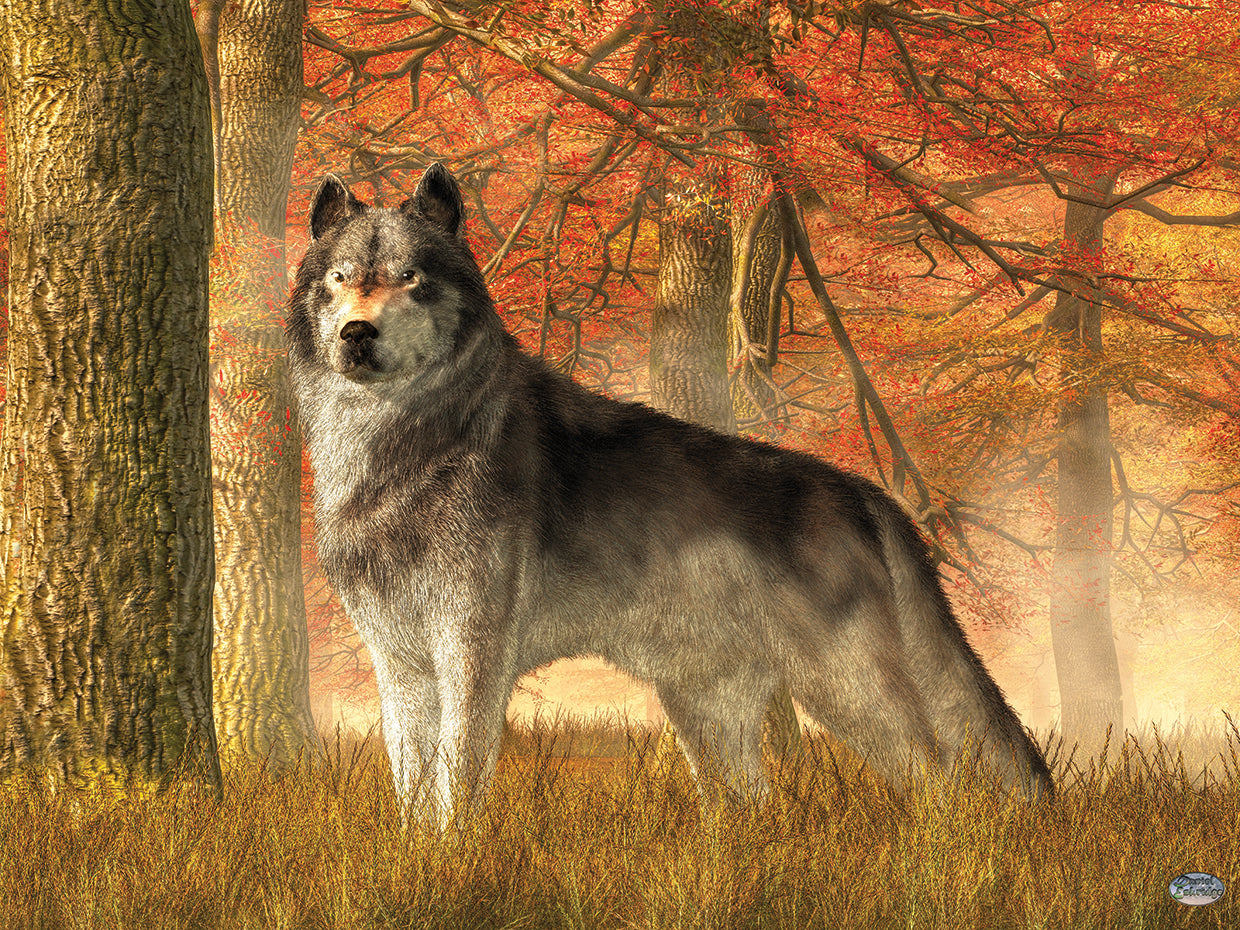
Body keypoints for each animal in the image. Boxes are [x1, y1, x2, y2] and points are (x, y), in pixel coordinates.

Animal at [287, 162, 1054, 827]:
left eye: (410, 278)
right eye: (341, 278)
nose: (357, 334)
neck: (401, 449)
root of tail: (866, 492)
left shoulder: (473, 656)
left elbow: (457, 785)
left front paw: (456, 860)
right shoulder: (400, 666)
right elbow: (412, 789)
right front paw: (420, 857)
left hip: (849, 692)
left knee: (939, 776)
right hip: (711, 721)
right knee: (756, 808)